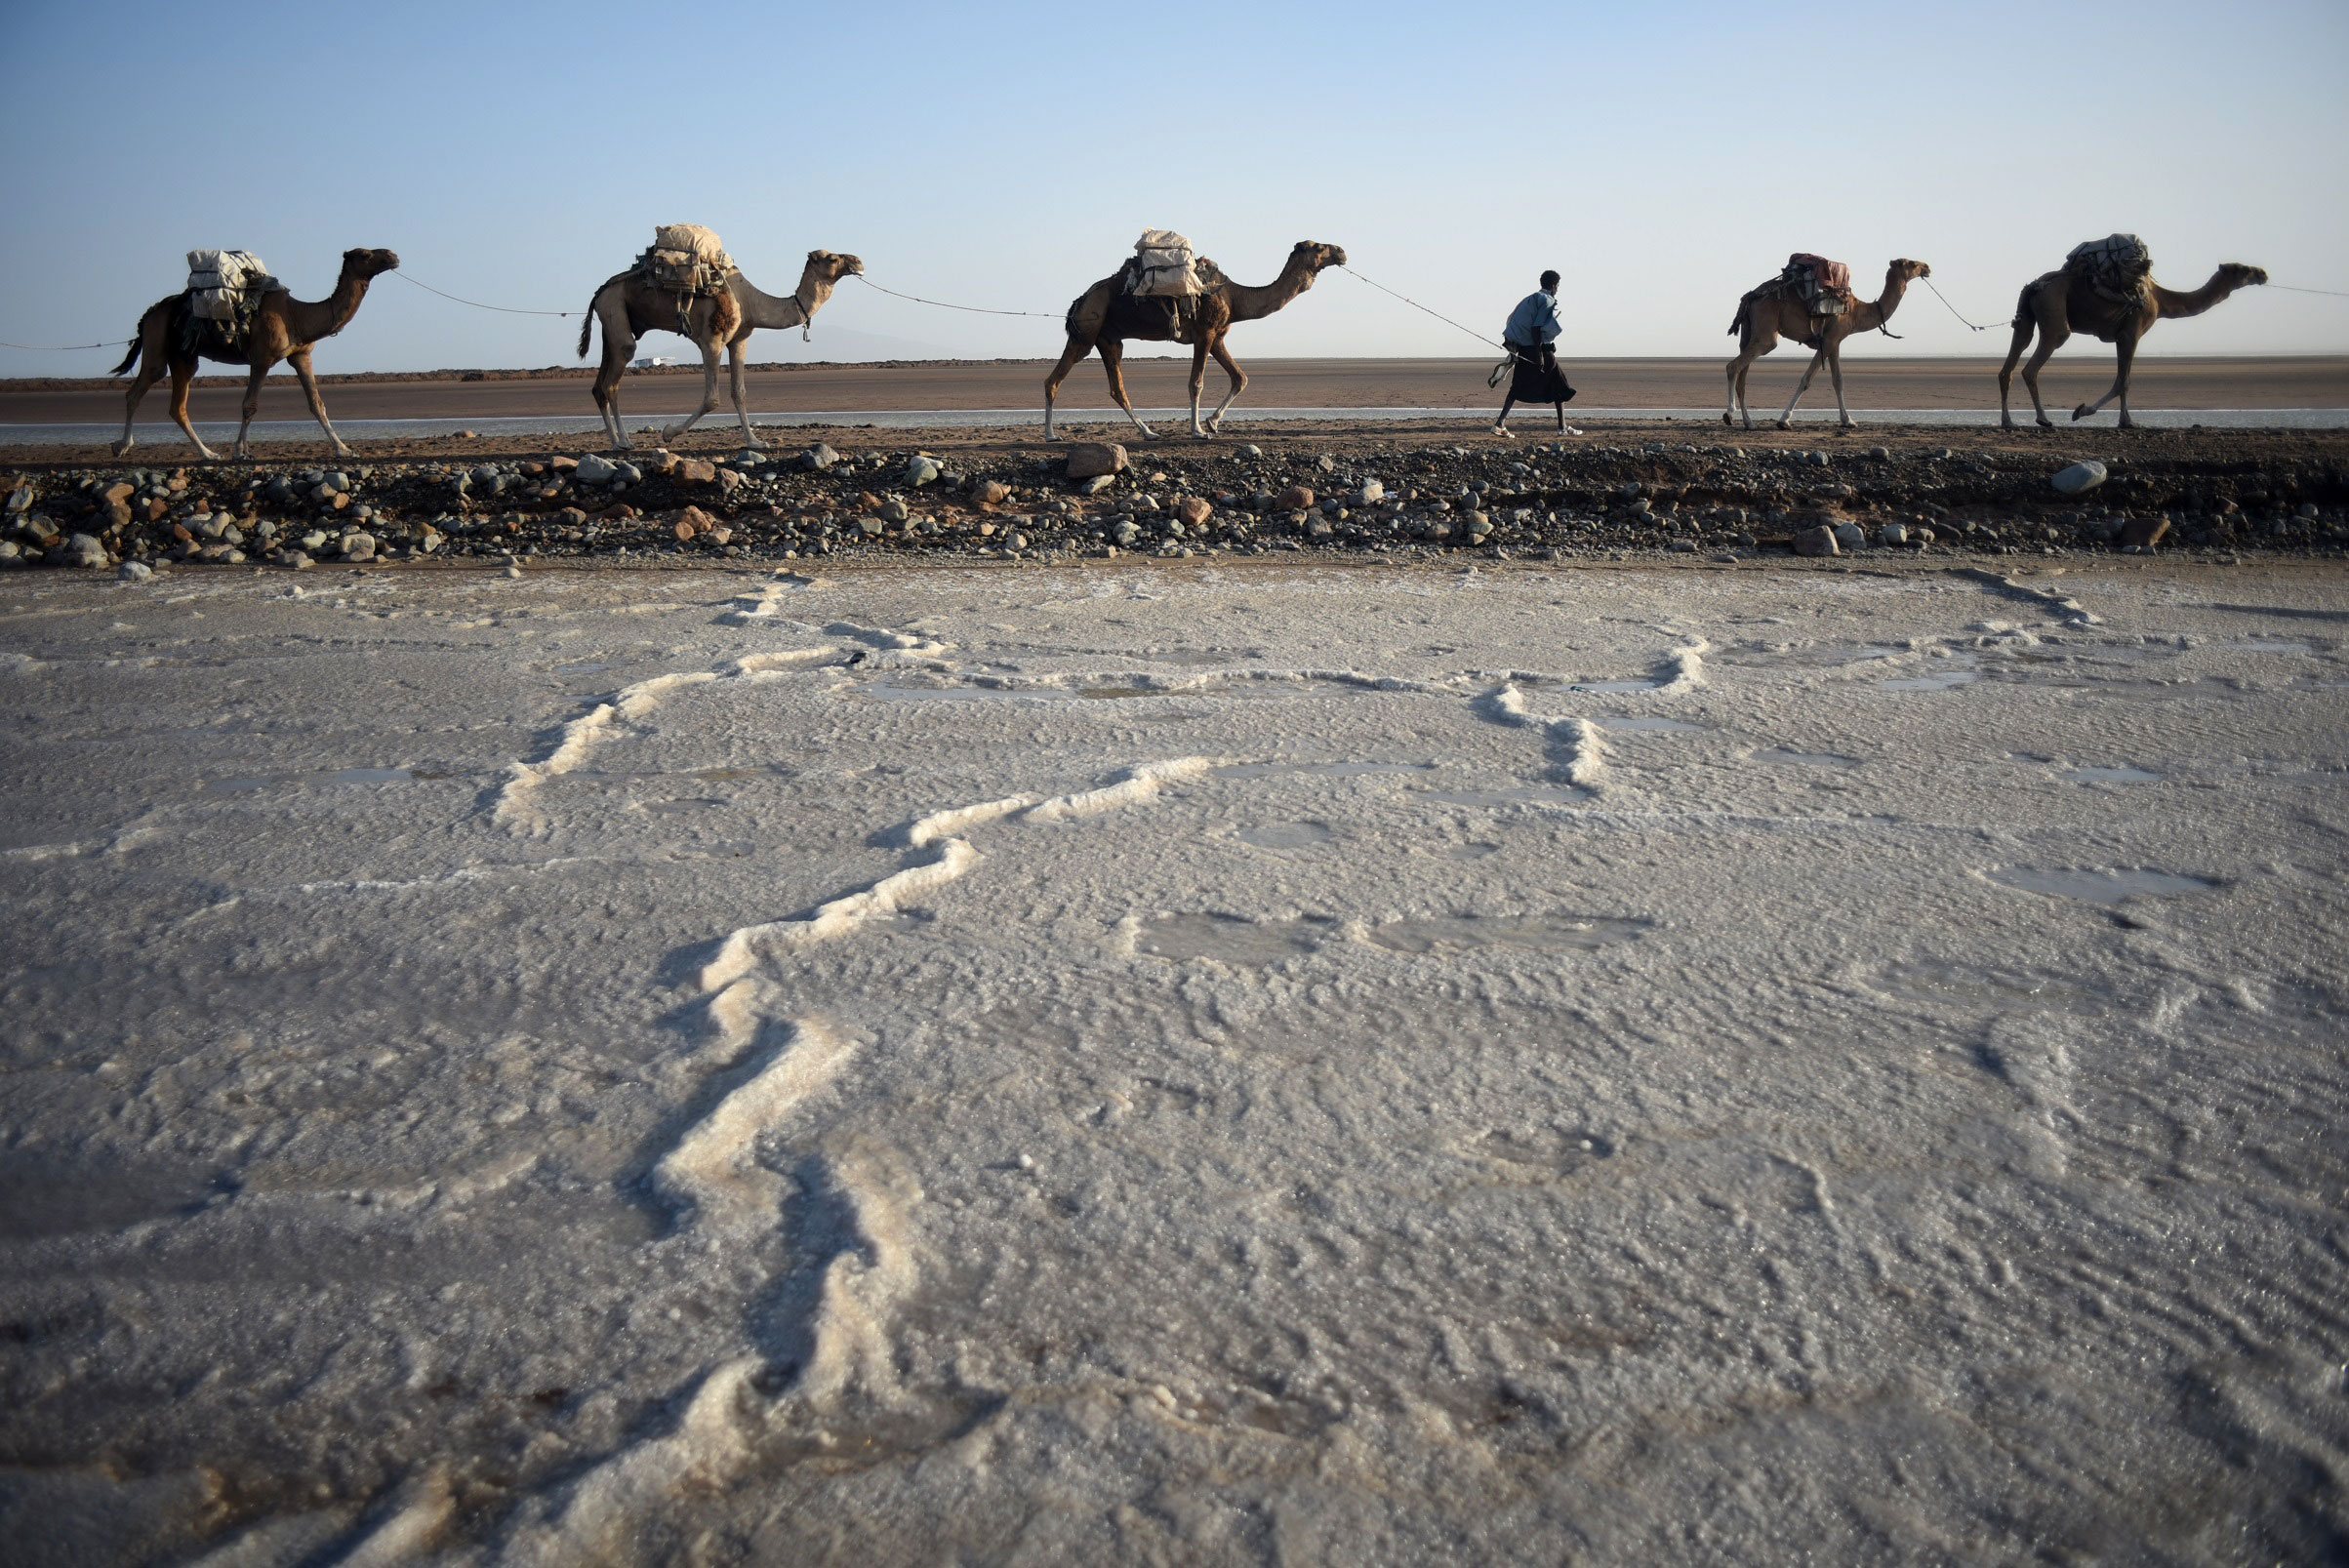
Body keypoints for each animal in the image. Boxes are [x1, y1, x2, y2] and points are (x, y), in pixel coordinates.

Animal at [110, 247, 400, 461]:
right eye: (365, 255)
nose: (393, 255)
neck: (297, 316)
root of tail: (149, 314)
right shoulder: (262, 358)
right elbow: (249, 405)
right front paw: (240, 451)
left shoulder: (301, 356)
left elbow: (317, 404)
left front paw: (344, 449)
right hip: (158, 342)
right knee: (138, 389)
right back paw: (122, 446)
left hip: (185, 357)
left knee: (177, 407)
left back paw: (208, 454)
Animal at [578, 250, 863, 450]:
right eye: (833, 258)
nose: (858, 262)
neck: (749, 301)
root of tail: (599, 293)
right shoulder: (711, 341)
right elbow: (712, 398)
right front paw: (668, 432)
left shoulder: (739, 340)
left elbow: (739, 392)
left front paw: (755, 441)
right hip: (614, 307)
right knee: (614, 377)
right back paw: (622, 442)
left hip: (612, 324)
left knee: (599, 385)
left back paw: (618, 439)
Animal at [1043, 241, 1347, 440]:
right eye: (1318, 247)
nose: (1342, 252)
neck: (1235, 297)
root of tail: (1078, 301)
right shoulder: (1205, 333)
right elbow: (1196, 383)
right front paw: (1198, 430)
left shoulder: (1218, 337)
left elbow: (1240, 377)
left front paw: (1212, 423)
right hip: (1087, 331)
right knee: (1053, 380)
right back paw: (1051, 435)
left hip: (1109, 340)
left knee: (1117, 388)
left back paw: (1149, 432)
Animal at [1723, 258, 1930, 430]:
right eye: (1912, 263)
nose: (1927, 268)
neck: (1855, 311)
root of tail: (1750, 295)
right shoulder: (1829, 340)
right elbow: (1806, 380)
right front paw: (1784, 420)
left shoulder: (1835, 342)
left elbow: (1838, 380)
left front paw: (1848, 420)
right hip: (1766, 333)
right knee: (1734, 365)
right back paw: (1730, 414)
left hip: (1748, 332)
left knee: (1742, 377)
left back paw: (1749, 422)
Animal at [1998, 259, 2267, 430]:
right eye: (2241, 269)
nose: (2262, 273)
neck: (2159, 298)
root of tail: (2036, 285)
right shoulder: (2132, 333)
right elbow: (2123, 381)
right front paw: (2091, 413)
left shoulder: (2121, 336)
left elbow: (2122, 380)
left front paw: (2121, 419)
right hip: (2053, 310)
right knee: (2035, 362)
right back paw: (2043, 419)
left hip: (2026, 315)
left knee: (2012, 358)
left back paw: (2008, 421)